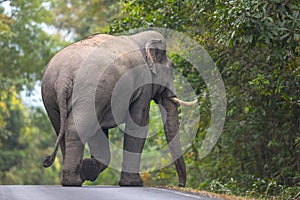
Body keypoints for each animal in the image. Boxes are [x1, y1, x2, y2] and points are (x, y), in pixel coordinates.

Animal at [41, 30, 197, 187]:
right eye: (171, 67)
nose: (180, 185)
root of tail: (63, 76)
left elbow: (100, 132)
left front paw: (89, 168)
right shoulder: (143, 84)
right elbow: (140, 123)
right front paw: (134, 184)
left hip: (54, 96)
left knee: (62, 130)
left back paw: (74, 177)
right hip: (89, 91)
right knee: (76, 128)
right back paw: (73, 181)